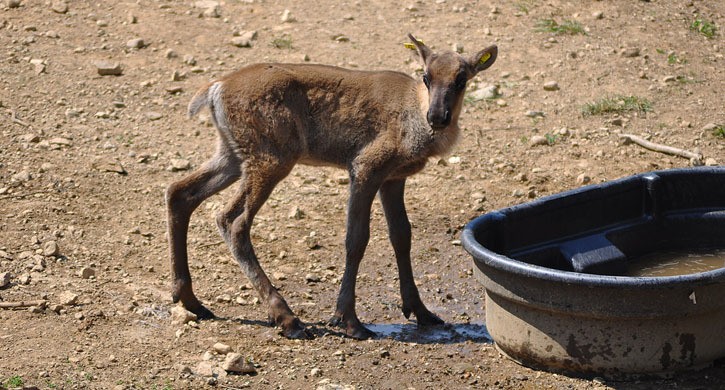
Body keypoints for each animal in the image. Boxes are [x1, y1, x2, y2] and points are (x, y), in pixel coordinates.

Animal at [168, 34, 498, 338]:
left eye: (461, 79)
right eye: (426, 76)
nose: (437, 117)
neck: (414, 115)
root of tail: (215, 88)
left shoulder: (394, 178)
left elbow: (402, 235)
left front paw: (422, 312)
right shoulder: (365, 167)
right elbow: (356, 238)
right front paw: (349, 320)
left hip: (232, 155)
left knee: (180, 192)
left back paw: (190, 300)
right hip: (270, 159)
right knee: (232, 220)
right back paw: (287, 318)